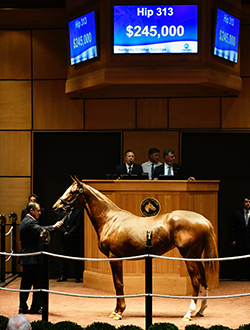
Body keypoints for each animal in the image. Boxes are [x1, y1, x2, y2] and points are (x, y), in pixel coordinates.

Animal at [52, 177, 219, 320]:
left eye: (73, 191)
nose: (56, 207)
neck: (111, 220)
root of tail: (203, 220)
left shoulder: (115, 257)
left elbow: (118, 283)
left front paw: (118, 312)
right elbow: (118, 283)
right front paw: (117, 310)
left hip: (189, 256)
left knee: (196, 281)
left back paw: (188, 314)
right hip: (197, 256)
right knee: (203, 280)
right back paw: (200, 310)